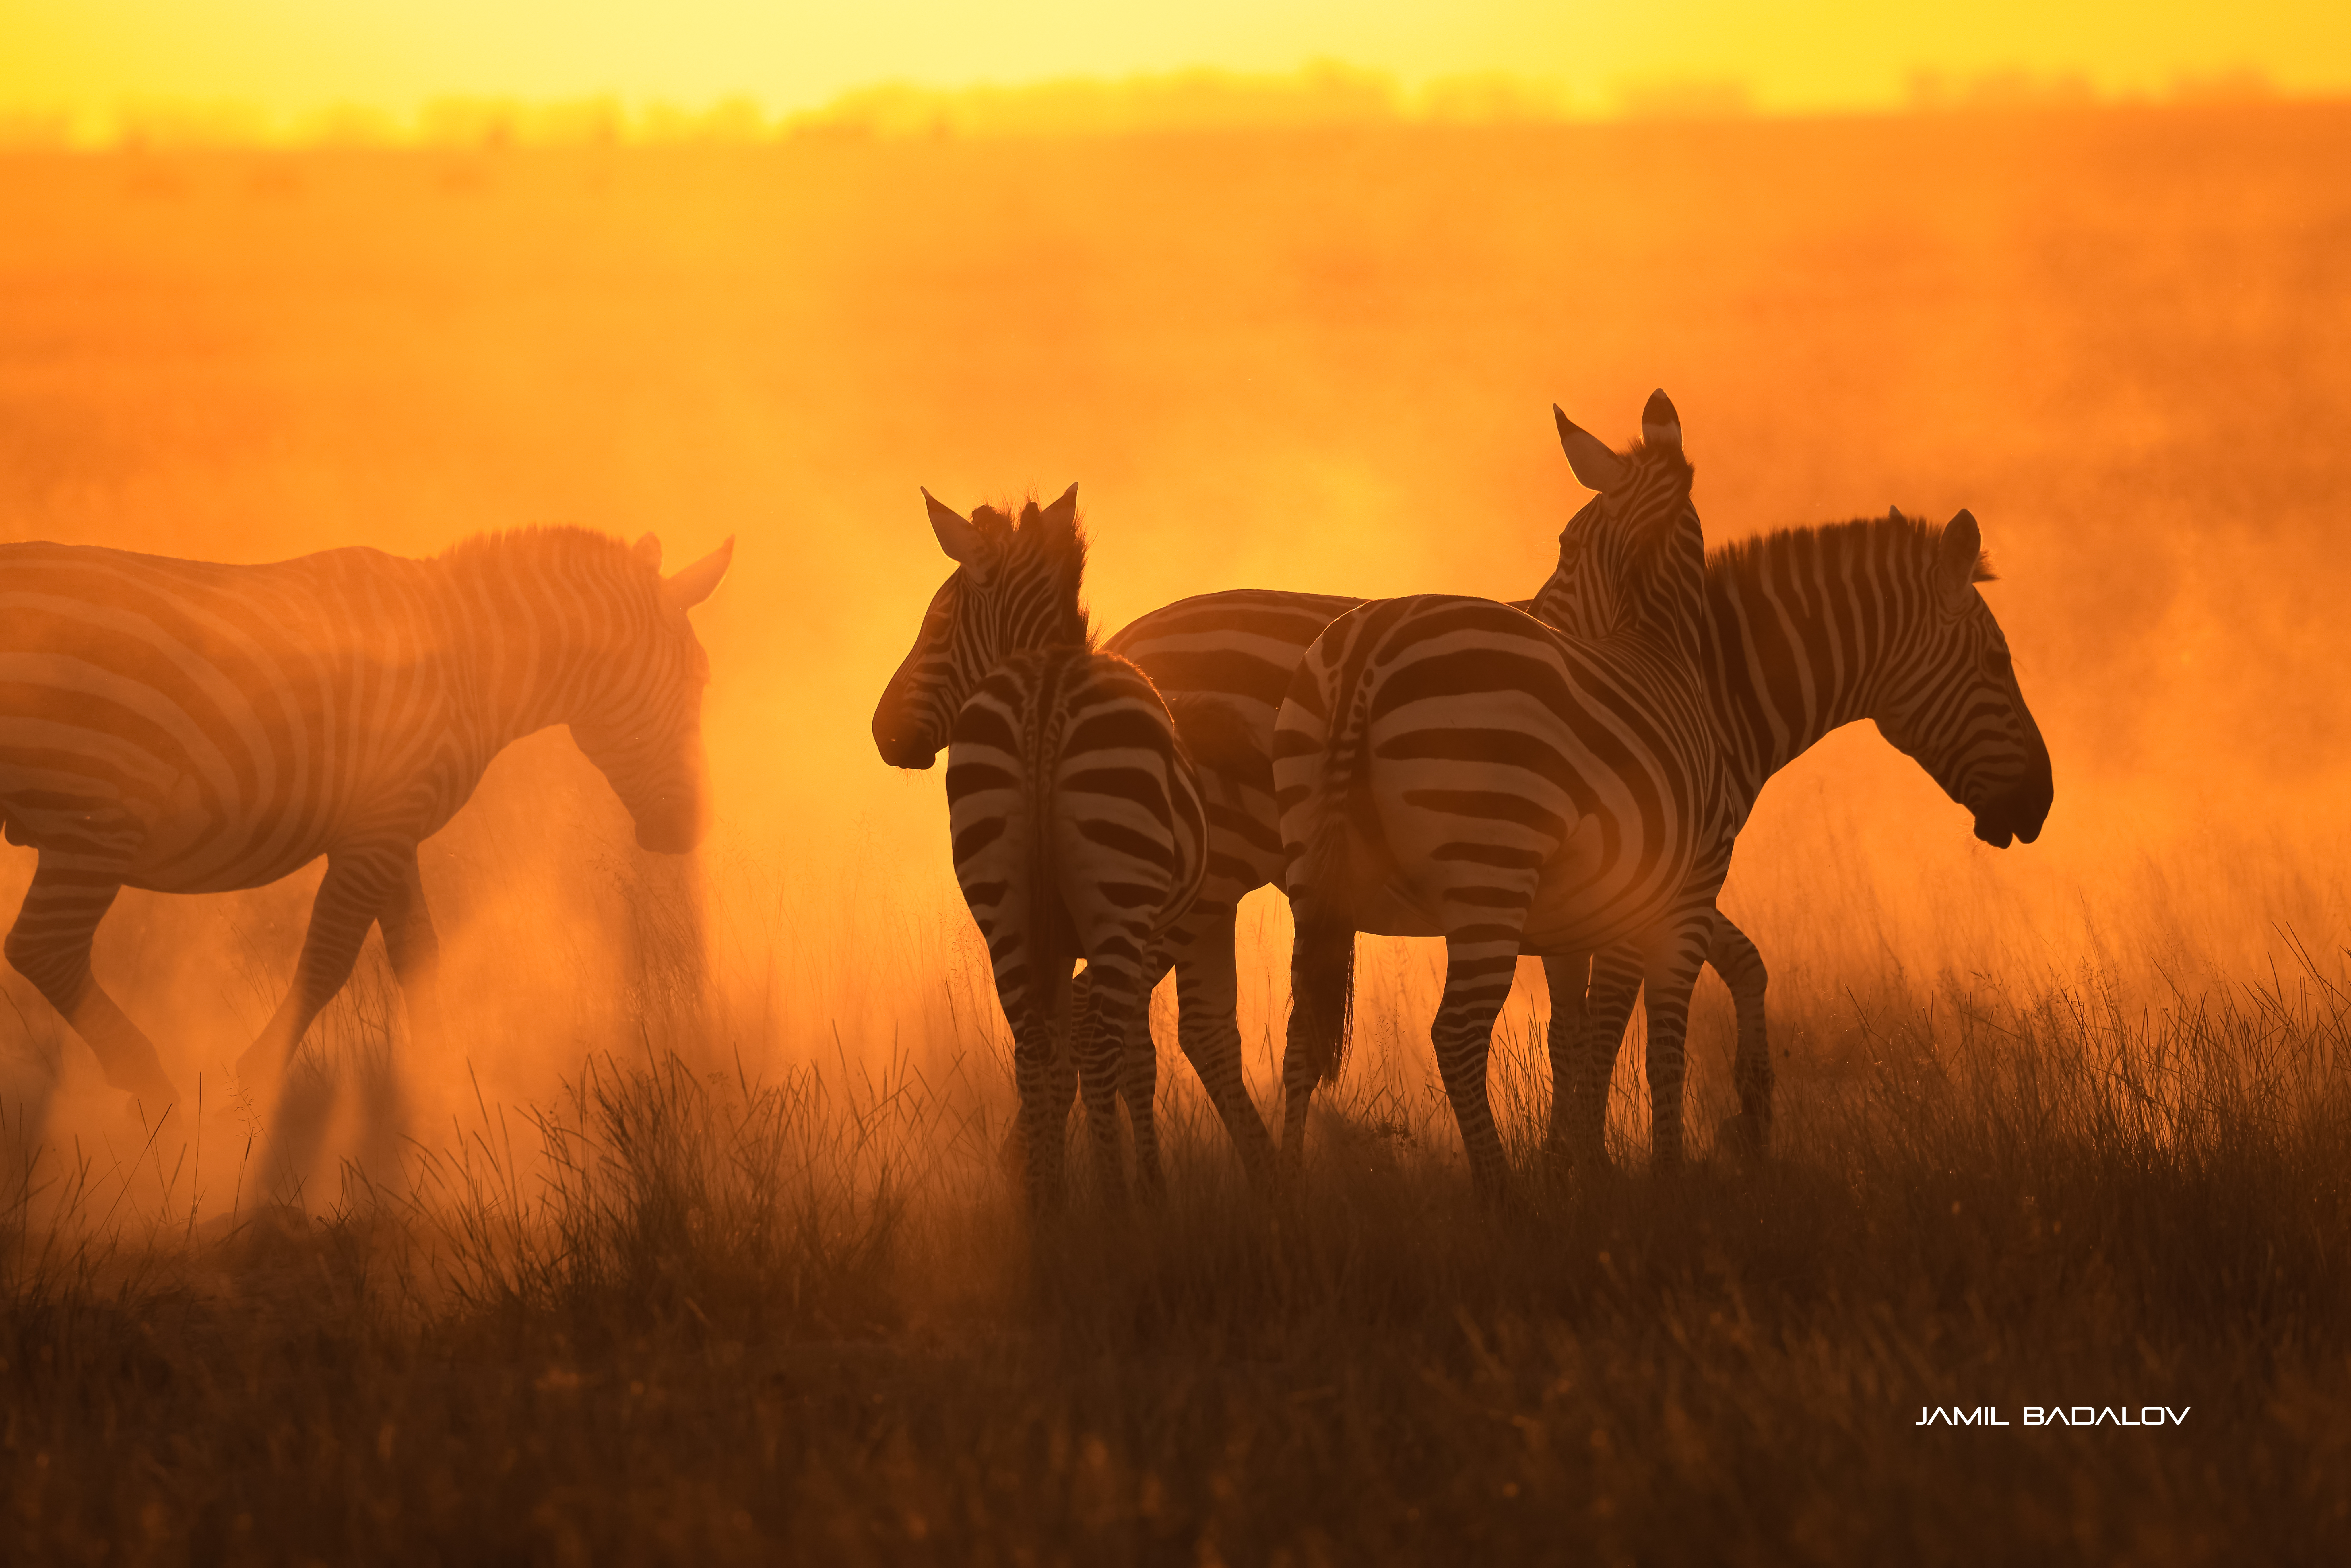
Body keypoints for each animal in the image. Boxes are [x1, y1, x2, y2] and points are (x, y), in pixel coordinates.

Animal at [0, 527, 733, 1120]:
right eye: (700, 680)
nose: (690, 833)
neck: (471, 665)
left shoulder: (394, 823)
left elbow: (418, 955)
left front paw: (443, 1080)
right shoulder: (376, 828)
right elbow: (329, 959)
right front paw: (255, 1084)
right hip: (96, 811)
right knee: (43, 948)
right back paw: (155, 1088)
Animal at [873, 485, 1208, 1210]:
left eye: (936, 624)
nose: (881, 732)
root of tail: (1046, 687)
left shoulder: (1052, 937)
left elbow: (1062, 1061)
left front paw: (1054, 1182)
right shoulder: (1140, 931)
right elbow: (1134, 1060)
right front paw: (1153, 1192)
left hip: (1003, 906)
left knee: (1031, 1051)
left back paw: (1044, 1211)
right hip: (1116, 902)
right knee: (1101, 1053)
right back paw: (1116, 1208)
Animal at [1272, 389, 1722, 1200]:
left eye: (1567, 547)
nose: (1542, 613)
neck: (1658, 640)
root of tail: (1370, 646)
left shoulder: (1578, 917)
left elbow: (1577, 1037)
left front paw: (1585, 1174)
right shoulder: (1682, 894)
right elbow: (1657, 1041)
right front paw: (1663, 1180)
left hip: (1311, 870)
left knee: (1301, 1032)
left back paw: (1288, 1197)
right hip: (1490, 861)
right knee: (1454, 1033)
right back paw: (1503, 1198)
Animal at [1544, 506, 2052, 1166]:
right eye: (1996, 661)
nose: (2043, 799)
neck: (1715, 704)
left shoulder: (1680, 883)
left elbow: (1742, 962)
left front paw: (1751, 1108)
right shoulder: (1657, 881)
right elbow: (1600, 1024)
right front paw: (1593, 1161)